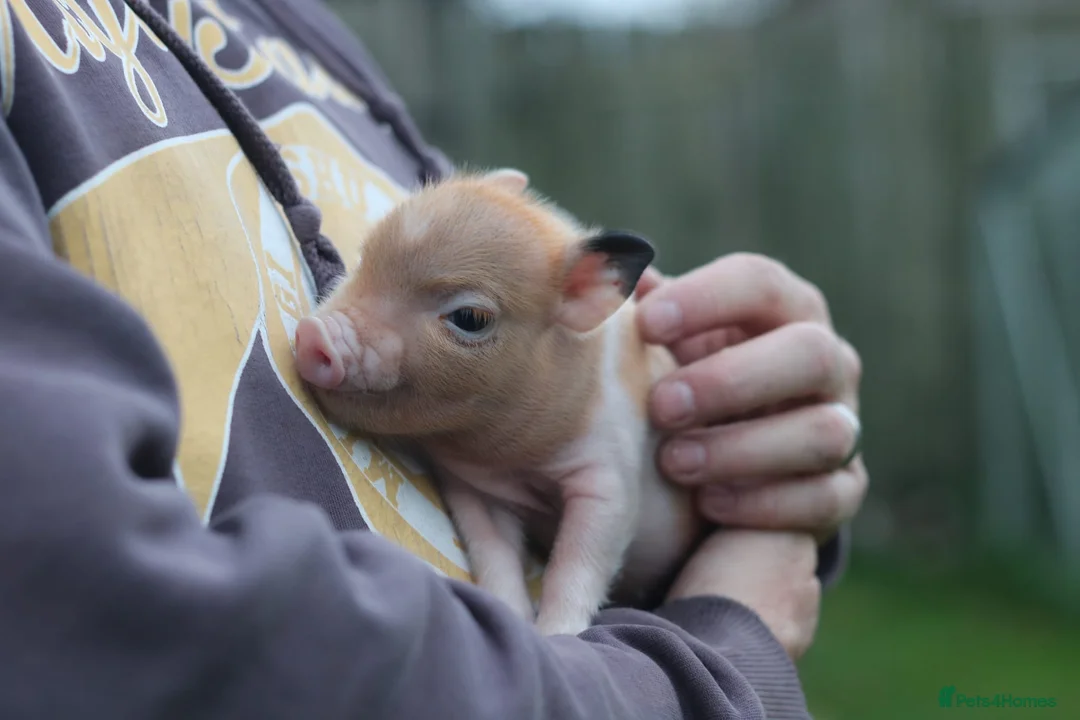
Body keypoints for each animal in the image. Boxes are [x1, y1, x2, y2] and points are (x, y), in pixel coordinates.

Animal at [293, 168, 707, 636]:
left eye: (470, 318)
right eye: (364, 259)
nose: (313, 335)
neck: (519, 459)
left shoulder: (609, 474)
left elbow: (578, 560)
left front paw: (556, 635)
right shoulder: (475, 486)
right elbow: (493, 552)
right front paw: (512, 617)